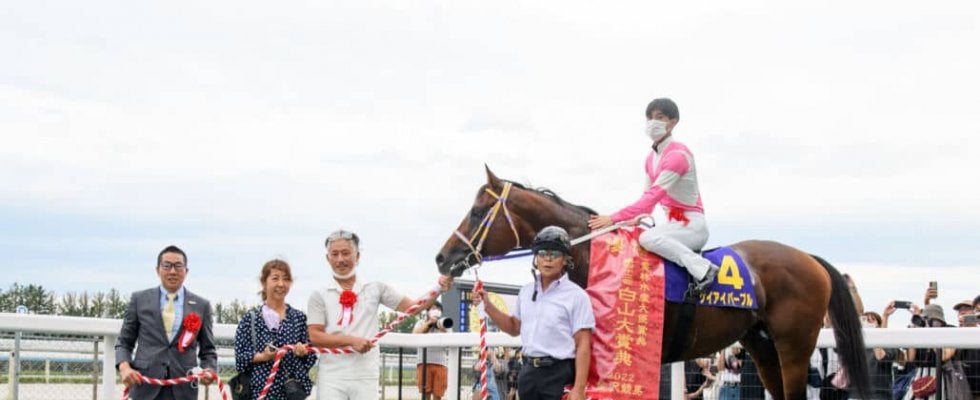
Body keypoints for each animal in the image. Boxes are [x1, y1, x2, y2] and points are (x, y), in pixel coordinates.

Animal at [435, 168, 869, 400]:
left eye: (477, 212)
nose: (443, 257)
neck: (597, 260)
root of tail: (809, 258)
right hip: (761, 346)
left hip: (794, 345)